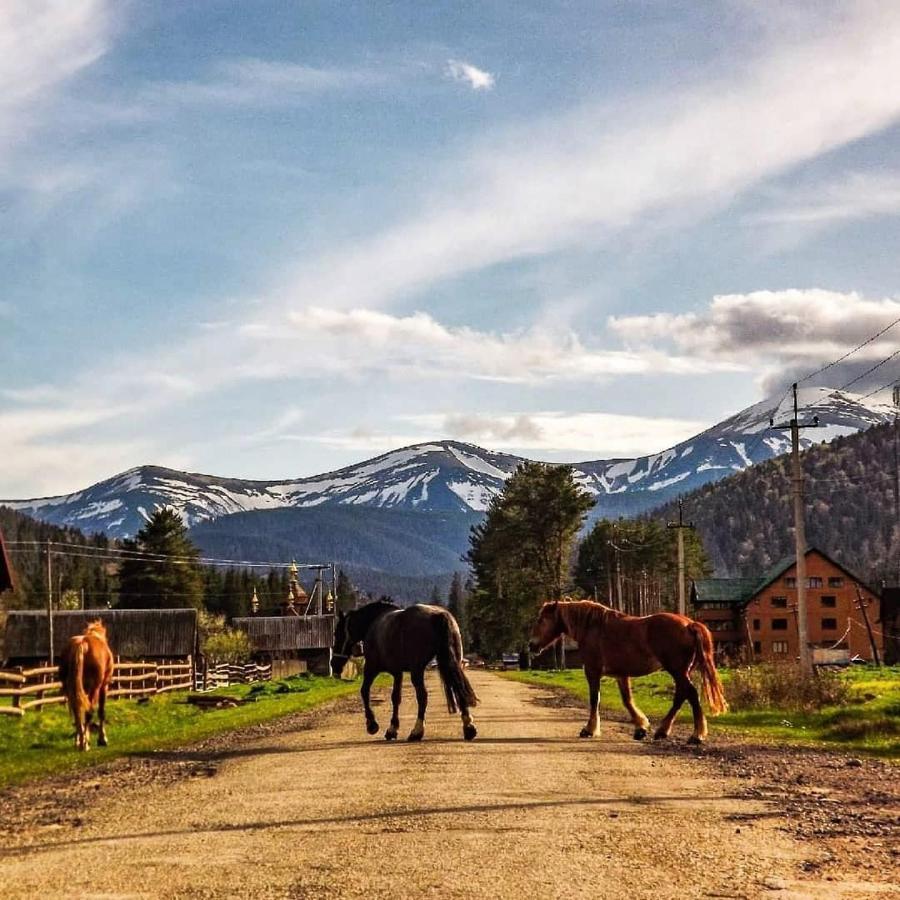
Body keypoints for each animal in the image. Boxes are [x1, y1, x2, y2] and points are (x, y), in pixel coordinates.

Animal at [59, 620, 115, 752]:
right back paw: (84, 744)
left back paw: (79, 742)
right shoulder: (104, 687)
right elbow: (101, 712)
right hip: (95, 688)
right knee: (89, 711)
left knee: (77, 711)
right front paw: (102, 739)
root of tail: (83, 643)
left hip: (71, 688)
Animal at [332, 600, 478, 740]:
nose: (334, 664)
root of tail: (438, 615)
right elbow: (396, 697)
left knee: (423, 696)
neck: (373, 624)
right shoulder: (397, 673)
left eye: (337, 633)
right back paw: (468, 727)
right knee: (459, 688)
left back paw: (417, 731)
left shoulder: (371, 668)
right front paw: (392, 729)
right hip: (454, 662)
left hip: (417, 670)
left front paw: (372, 724)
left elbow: (364, 691)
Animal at [532, 600, 728, 740]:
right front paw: (641, 727)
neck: (592, 627)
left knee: (690, 694)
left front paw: (589, 729)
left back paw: (696, 735)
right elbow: (627, 701)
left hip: (677, 671)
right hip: (681, 672)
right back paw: (663, 731)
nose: (531, 645)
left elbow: (595, 700)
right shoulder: (621, 675)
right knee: (681, 696)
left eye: (541, 620)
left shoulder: (593, 671)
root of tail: (689, 624)